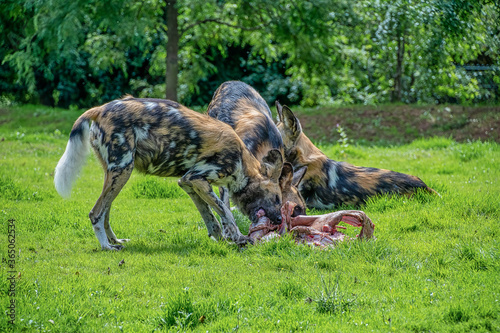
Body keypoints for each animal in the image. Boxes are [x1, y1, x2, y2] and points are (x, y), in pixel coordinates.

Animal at [53, 96, 288, 249]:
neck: (241, 162)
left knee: (105, 213)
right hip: (122, 170)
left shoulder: (188, 183)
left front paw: (221, 239)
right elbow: (225, 212)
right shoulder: (196, 178)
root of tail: (100, 109)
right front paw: (238, 238)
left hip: (114, 174)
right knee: (96, 213)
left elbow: (210, 217)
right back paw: (106, 247)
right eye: (277, 198)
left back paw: (116, 241)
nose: (279, 219)